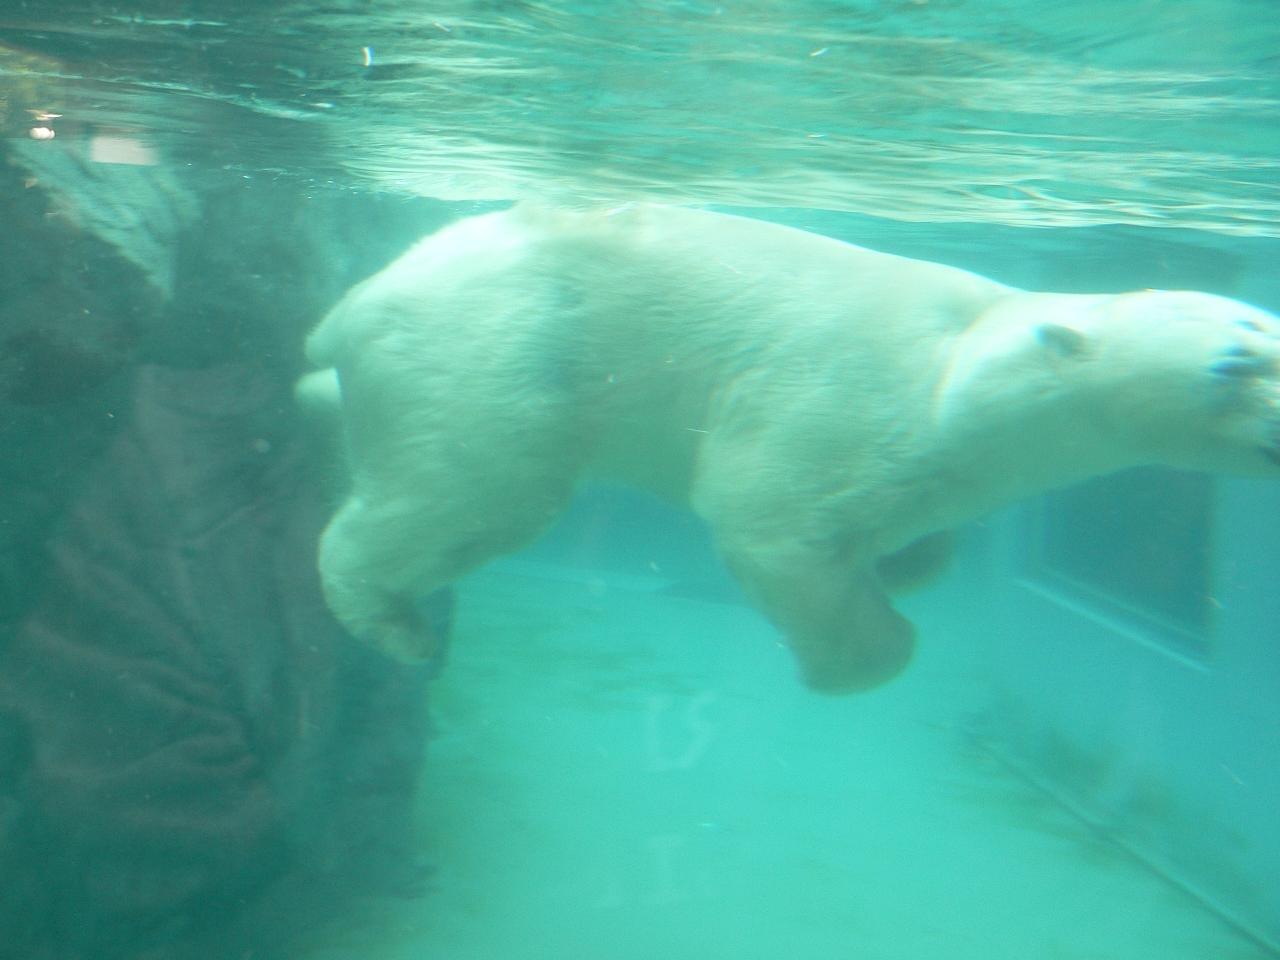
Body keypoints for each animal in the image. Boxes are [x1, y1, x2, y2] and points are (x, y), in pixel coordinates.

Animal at [303, 203, 1280, 693]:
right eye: (1234, 361)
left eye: (1267, 323)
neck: (967, 360)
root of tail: (350, 304)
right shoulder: (852, 400)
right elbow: (770, 517)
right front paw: (845, 665)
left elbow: (917, 537)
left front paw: (908, 561)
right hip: (496, 352)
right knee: (477, 489)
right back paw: (395, 624)